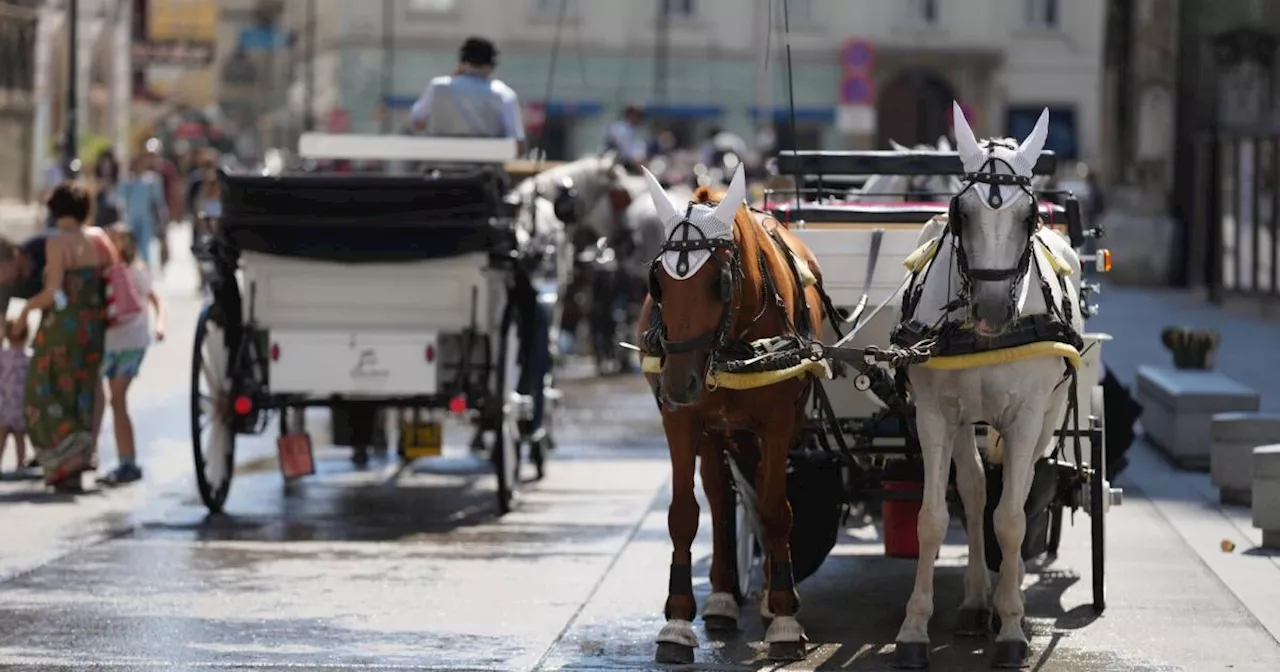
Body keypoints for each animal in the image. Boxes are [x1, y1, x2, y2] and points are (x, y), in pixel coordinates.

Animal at [634, 163, 824, 660]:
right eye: (658, 283)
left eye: (717, 282)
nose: (678, 383)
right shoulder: (681, 422)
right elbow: (684, 513)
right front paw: (678, 621)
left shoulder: (777, 423)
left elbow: (776, 508)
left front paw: (784, 617)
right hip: (715, 430)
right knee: (720, 496)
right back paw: (721, 598)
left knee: (757, 490)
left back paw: (769, 597)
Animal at [890, 102, 1080, 665]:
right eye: (961, 213)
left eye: (1030, 217)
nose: (994, 311)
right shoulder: (935, 414)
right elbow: (933, 518)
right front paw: (914, 628)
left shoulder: (1025, 418)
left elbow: (1012, 519)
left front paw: (1013, 626)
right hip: (960, 422)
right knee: (974, 493)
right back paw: (978, 601)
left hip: (1046, 419)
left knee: (1016, 492)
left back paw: (1005, 598)